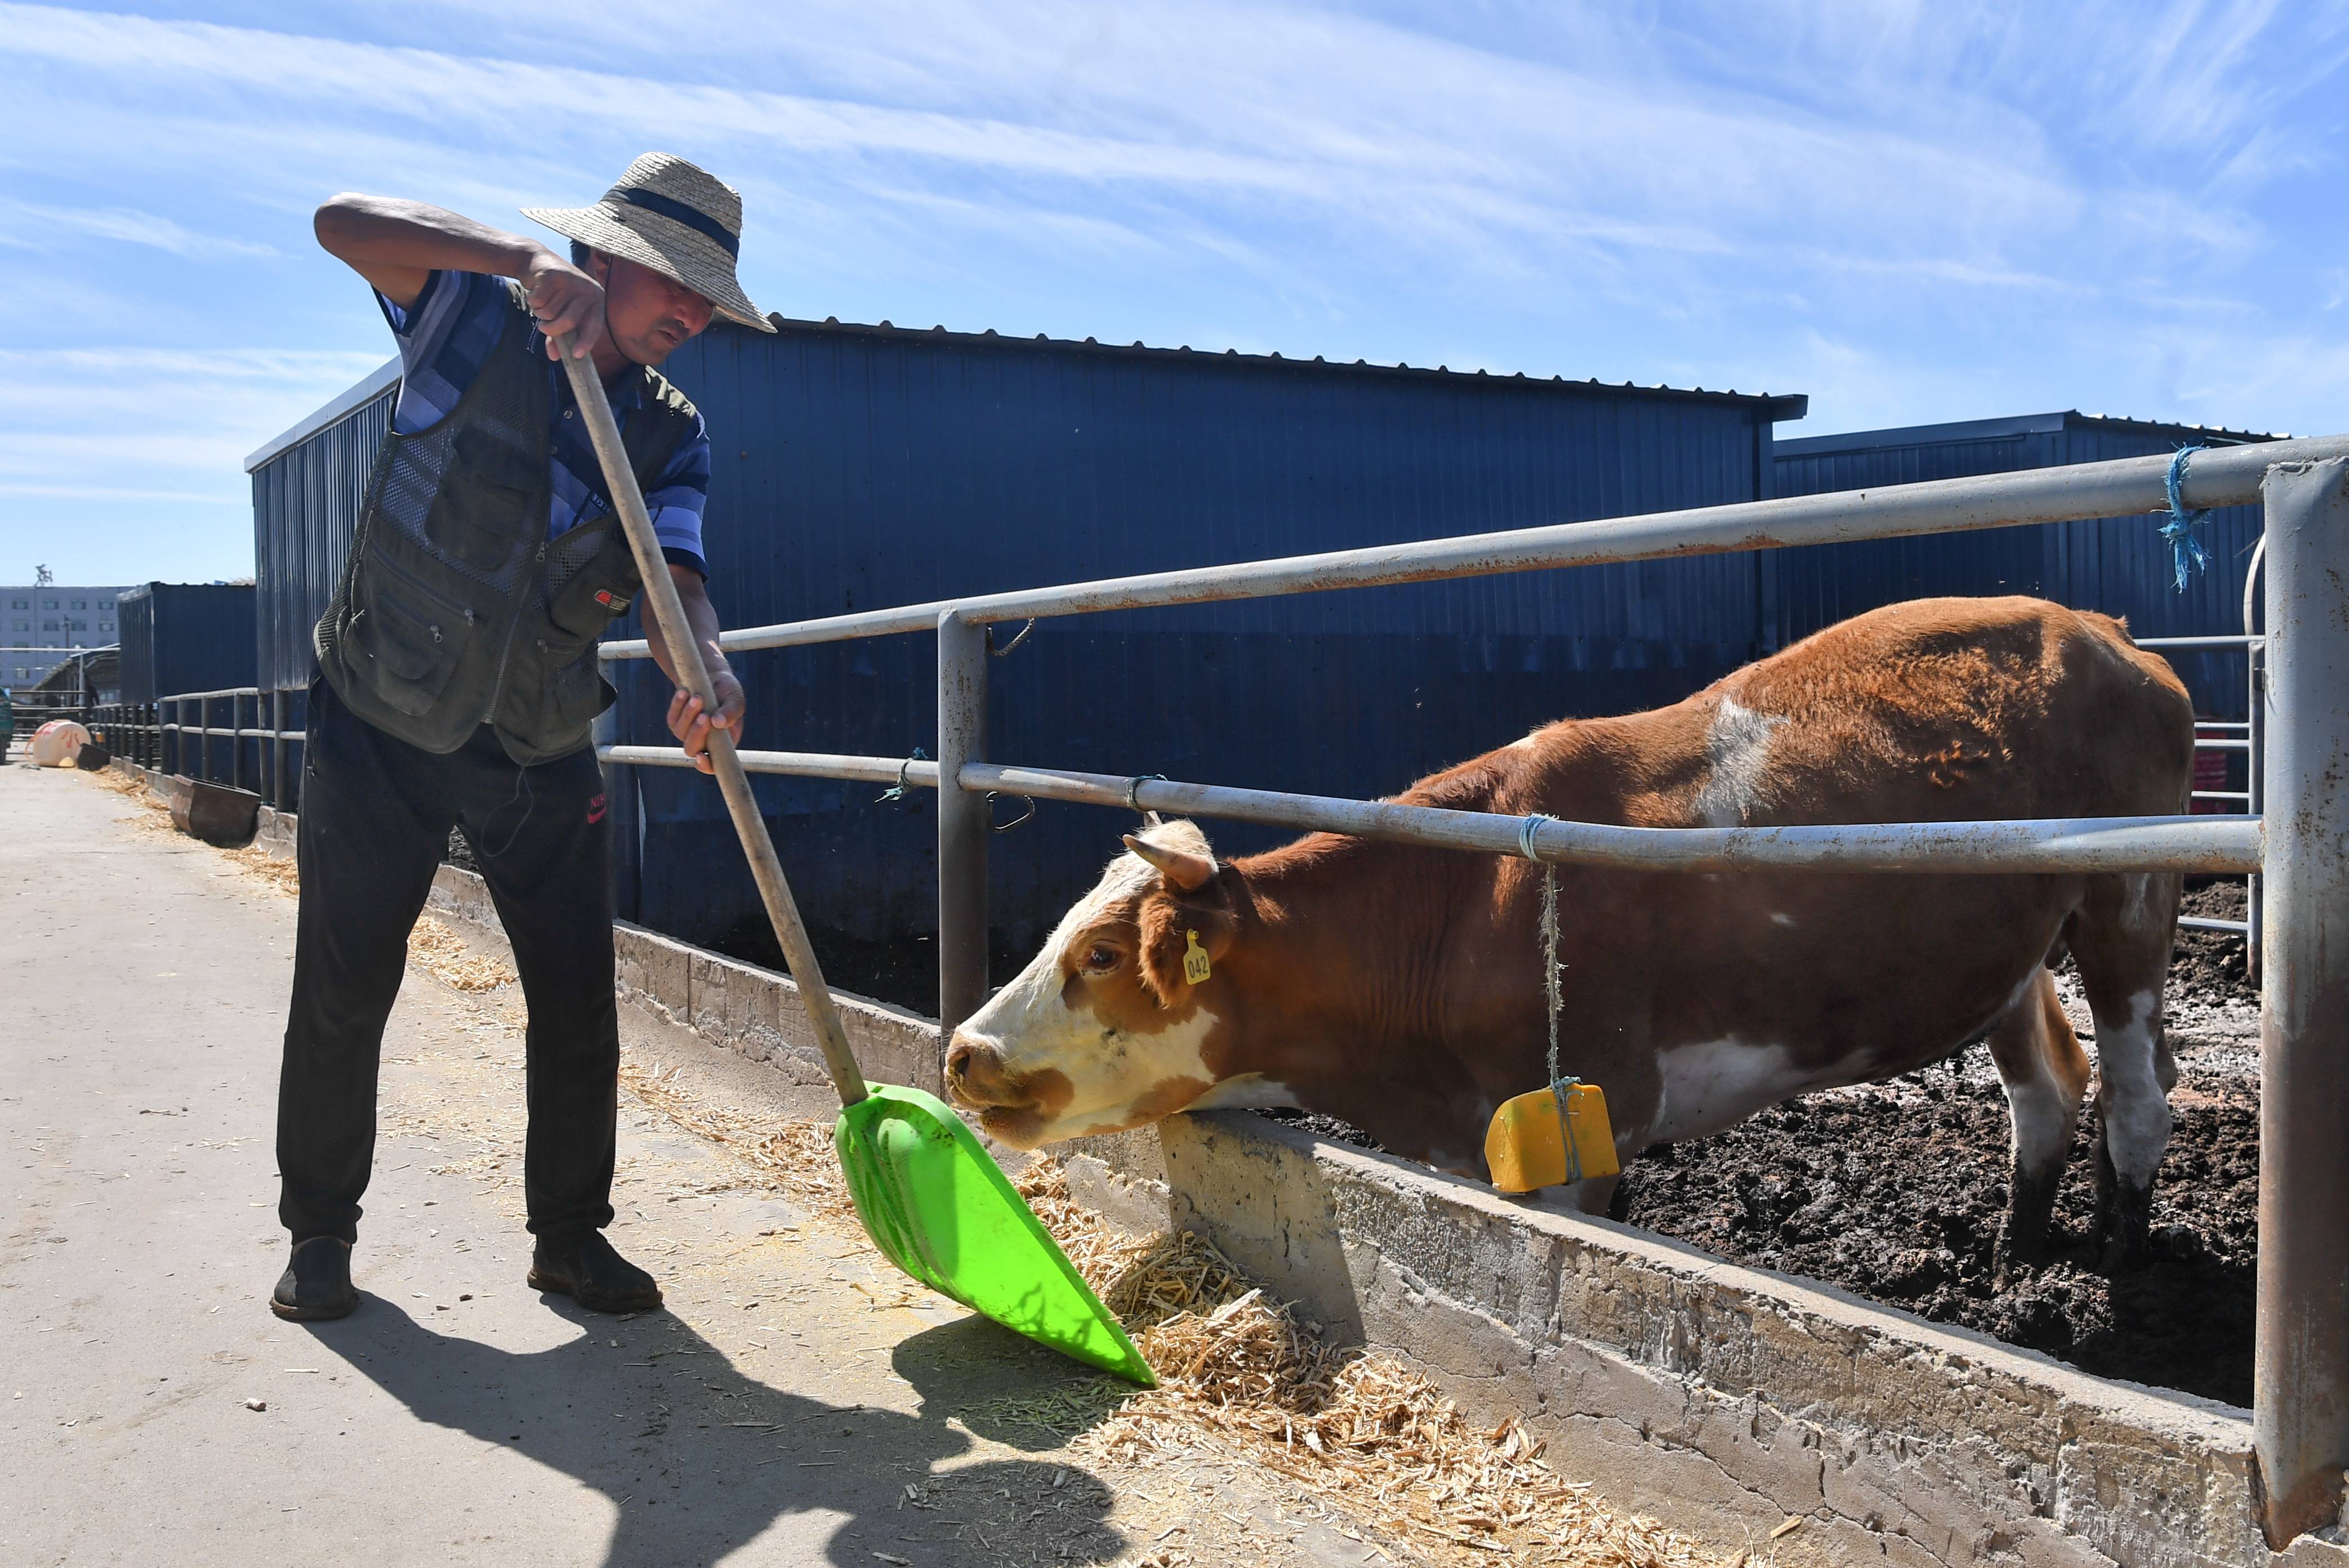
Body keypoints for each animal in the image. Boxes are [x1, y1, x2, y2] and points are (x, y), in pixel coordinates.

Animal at [944, 601, 2189, 1277]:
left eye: (1102, 956)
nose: (963, 1052)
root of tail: (2102, 630)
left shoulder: (1588, 1123)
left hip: (2130, 893)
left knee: (2134, 1084)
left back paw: (2119, 1253)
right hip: (2004, 939)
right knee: (2047, 1079)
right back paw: (2014, 1252)